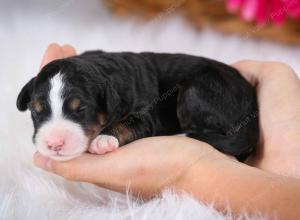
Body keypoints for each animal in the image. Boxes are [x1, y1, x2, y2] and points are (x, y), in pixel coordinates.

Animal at [16, 51, 258, 162]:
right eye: (36, 111)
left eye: (81, 109)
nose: (54, 143)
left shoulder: (145, 115)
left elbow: (126, 123)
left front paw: (103, 139)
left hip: (194, 91)